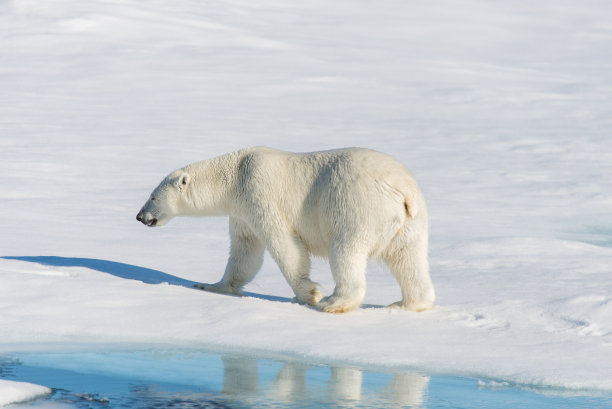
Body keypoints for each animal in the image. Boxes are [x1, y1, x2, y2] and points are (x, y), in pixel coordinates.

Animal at [139, 147, 436, 312]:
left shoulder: (259, 190)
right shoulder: (241, 211)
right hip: (410, 222)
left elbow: (284, 244)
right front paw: (210, 285)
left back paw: (333, 302)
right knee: (408, 258)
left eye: (152, 196)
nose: (140, 216)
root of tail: (403, 189)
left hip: (356, 206)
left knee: (346, 251)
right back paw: (407, 303)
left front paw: (309, 294)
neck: (235, 173)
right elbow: (245, 250)